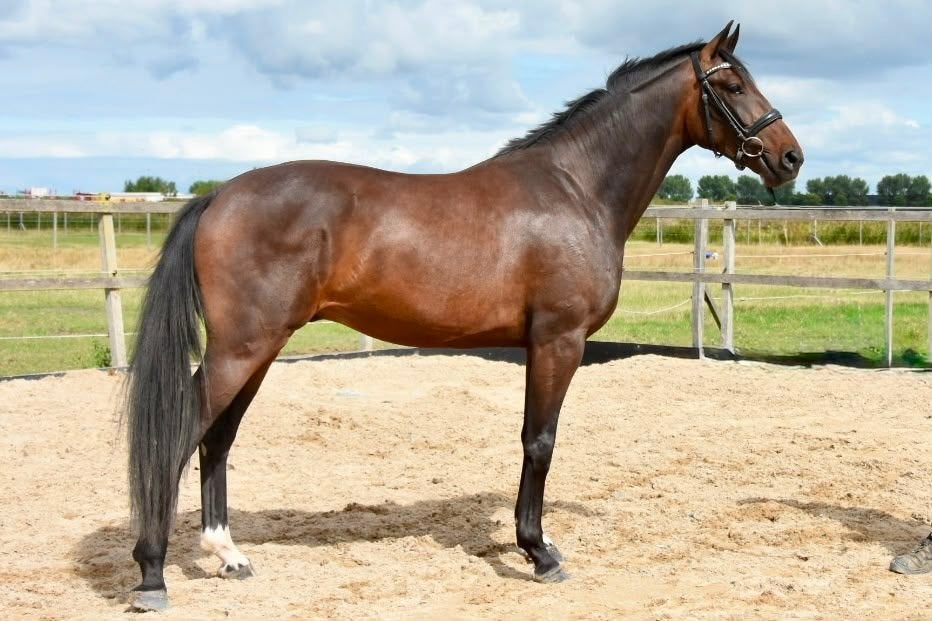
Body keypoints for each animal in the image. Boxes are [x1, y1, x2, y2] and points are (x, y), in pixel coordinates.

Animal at [126, 21, 803, 611]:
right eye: (733, 85)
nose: (790, 157)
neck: (576, 189)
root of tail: (220, 196)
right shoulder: (558, 341)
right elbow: (540, 441)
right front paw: (540, 552)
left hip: (256, 350)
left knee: (217, 438)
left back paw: (228, 554)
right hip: (242, 348)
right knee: (181, 436)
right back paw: (152, 574)